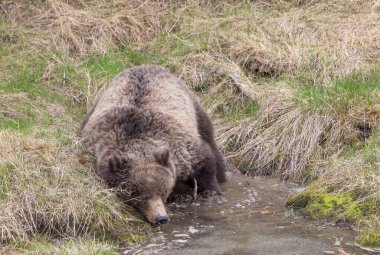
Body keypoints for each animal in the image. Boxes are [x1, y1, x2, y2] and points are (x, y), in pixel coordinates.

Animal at [80, 64, 226, 224]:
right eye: (138, 194)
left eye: (163, 191)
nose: (161, 217)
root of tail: (146, 65)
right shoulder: (94, 141)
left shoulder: (182, 146)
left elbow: (203, 163)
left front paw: (211, 191)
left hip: (192, 106)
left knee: (208, 136)